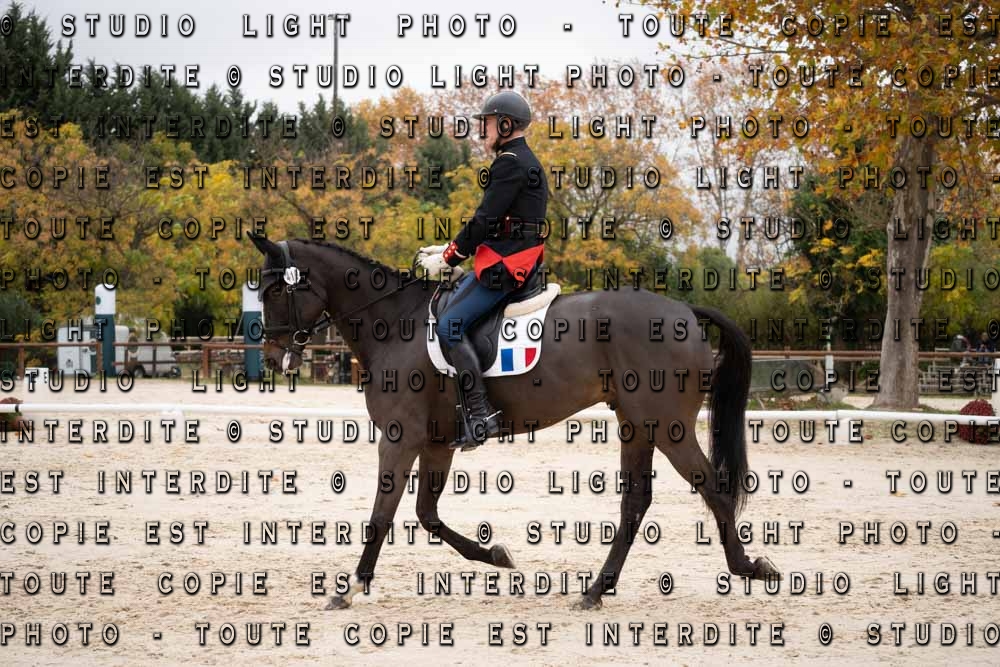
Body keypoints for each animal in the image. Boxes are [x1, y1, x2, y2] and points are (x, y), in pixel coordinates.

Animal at [248, 235, 780, 611]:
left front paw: (351, 586)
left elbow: (383, 515)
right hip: (636, 424)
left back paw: (750, 567)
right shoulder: (437, 443)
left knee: (711, 488)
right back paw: (595, 590)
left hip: (667, 425)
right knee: (636, 503)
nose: (273, 358)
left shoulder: (400, 439)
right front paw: (498, 557)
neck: (394, 324)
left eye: (274, 289)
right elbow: (427, 514)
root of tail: (684, 310)